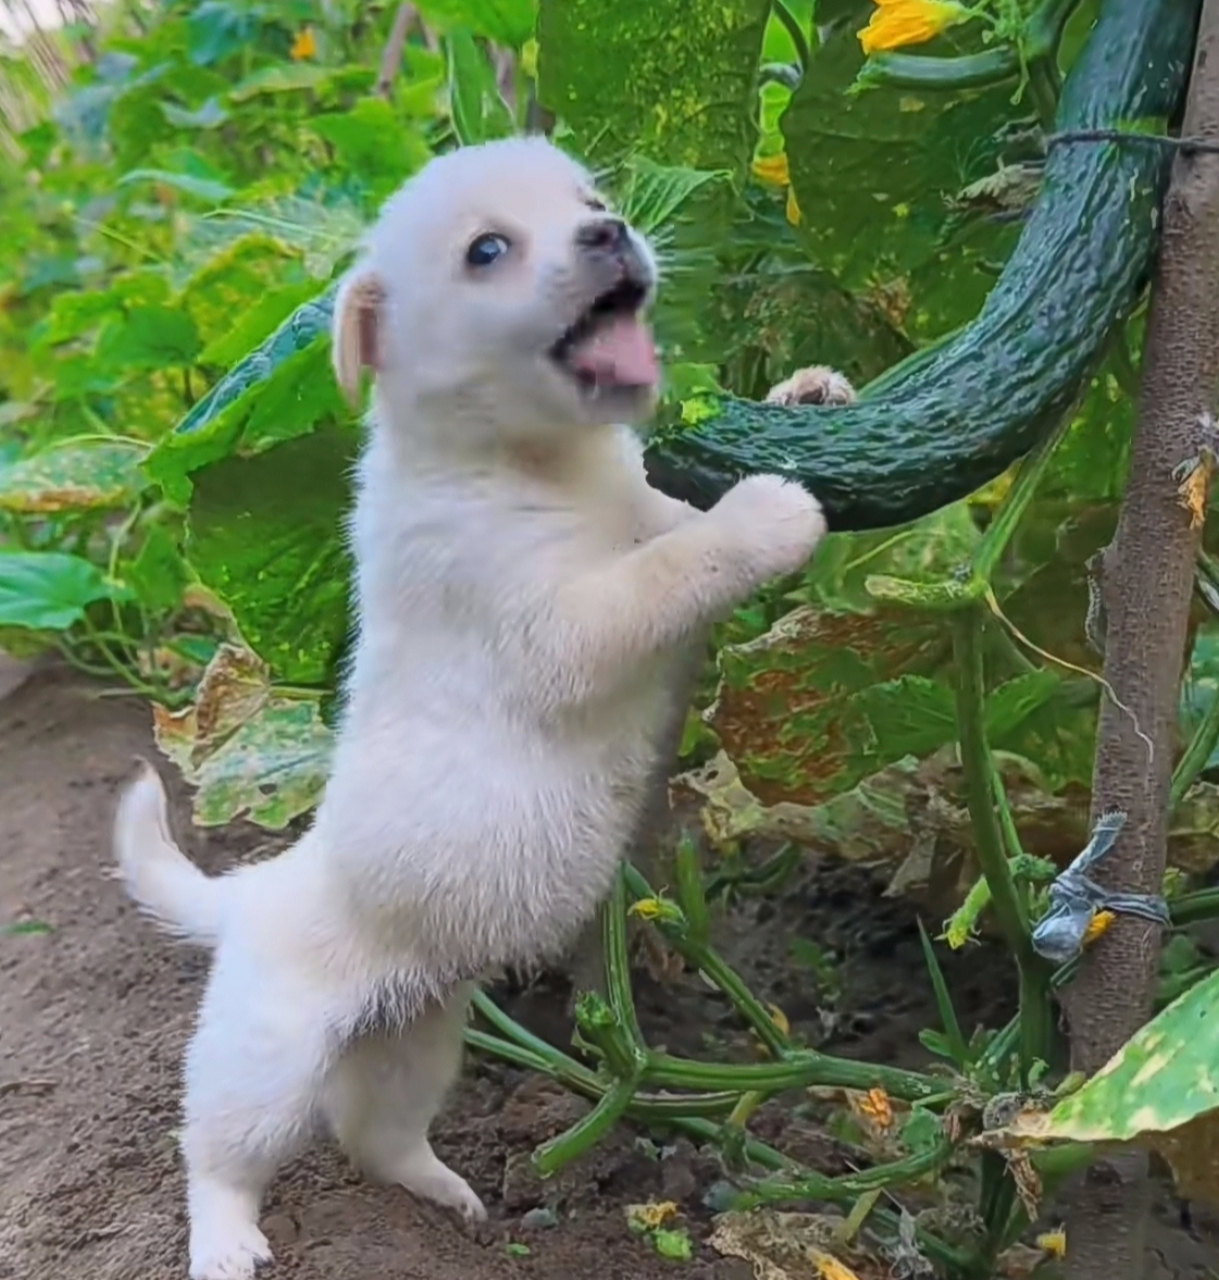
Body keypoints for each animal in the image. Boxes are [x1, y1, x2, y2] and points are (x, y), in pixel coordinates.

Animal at [113, 137, 834, 1280]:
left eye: (590, 200)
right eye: (488, 250)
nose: (609, 232)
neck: (532, 458)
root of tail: (252, 891)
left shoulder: (637, 517)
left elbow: (669, 521)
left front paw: (804, 395)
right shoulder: (566, 622)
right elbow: (677, 560)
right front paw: (768, 511)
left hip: (414, 1037)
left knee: (375, 1134)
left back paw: (444, 1198)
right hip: (266, 1059)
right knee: (215, 1151)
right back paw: (224, 1240)